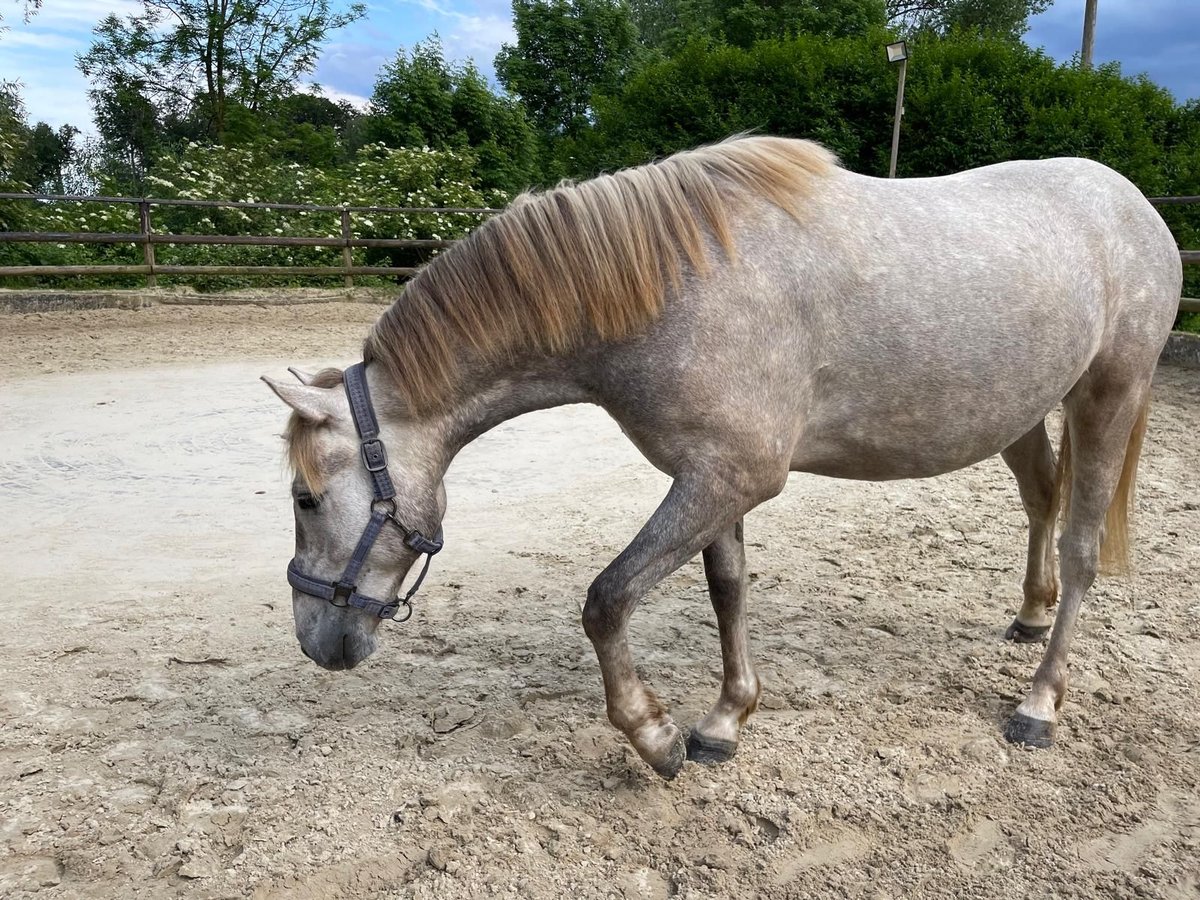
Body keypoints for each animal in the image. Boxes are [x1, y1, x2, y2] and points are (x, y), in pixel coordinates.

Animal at [265, 135, 1180, 782]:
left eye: (305, 499)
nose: (317, 642)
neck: (669, 284)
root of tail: (1134, 204)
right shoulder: (713, 479)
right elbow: (727, 590)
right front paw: (725, 720)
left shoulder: (728, 477)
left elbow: (607, 600)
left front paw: (657, 737)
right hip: (1022, 412)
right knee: (1041, 500)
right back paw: (1028, 615)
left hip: (1110, 395)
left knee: (1082, 547)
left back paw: (1039, 704)